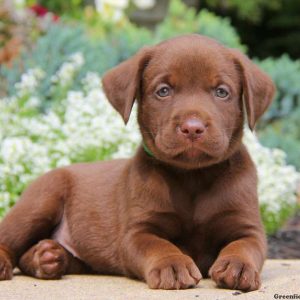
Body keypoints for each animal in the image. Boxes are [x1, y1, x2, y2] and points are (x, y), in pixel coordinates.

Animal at [0, 34, 274, 290]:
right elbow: (158, 245)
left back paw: (46, 257)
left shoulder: (247, 227)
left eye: (222, 92)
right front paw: (172, 265)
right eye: (163, 90)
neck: (192, 176)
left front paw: (238, 265)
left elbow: (245, 246)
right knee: (9, 239)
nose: (192, 128)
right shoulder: (137, 231)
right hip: (40, 201)